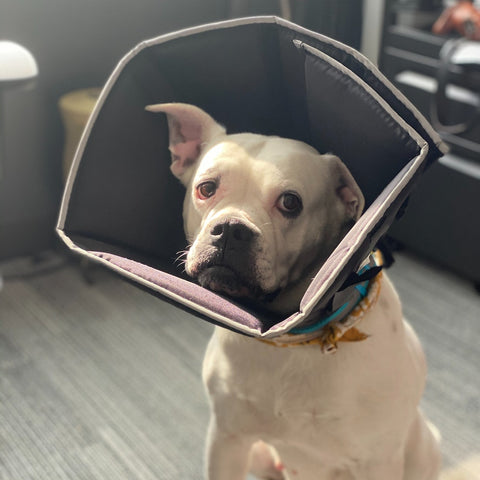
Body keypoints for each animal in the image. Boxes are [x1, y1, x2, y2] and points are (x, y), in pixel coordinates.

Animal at [147, 103, 442, 478]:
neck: (295, 341)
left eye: (290, 203)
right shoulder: (227, 439)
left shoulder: (378, 460)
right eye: (207, 188)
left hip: (423, 447)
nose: (230, 229)